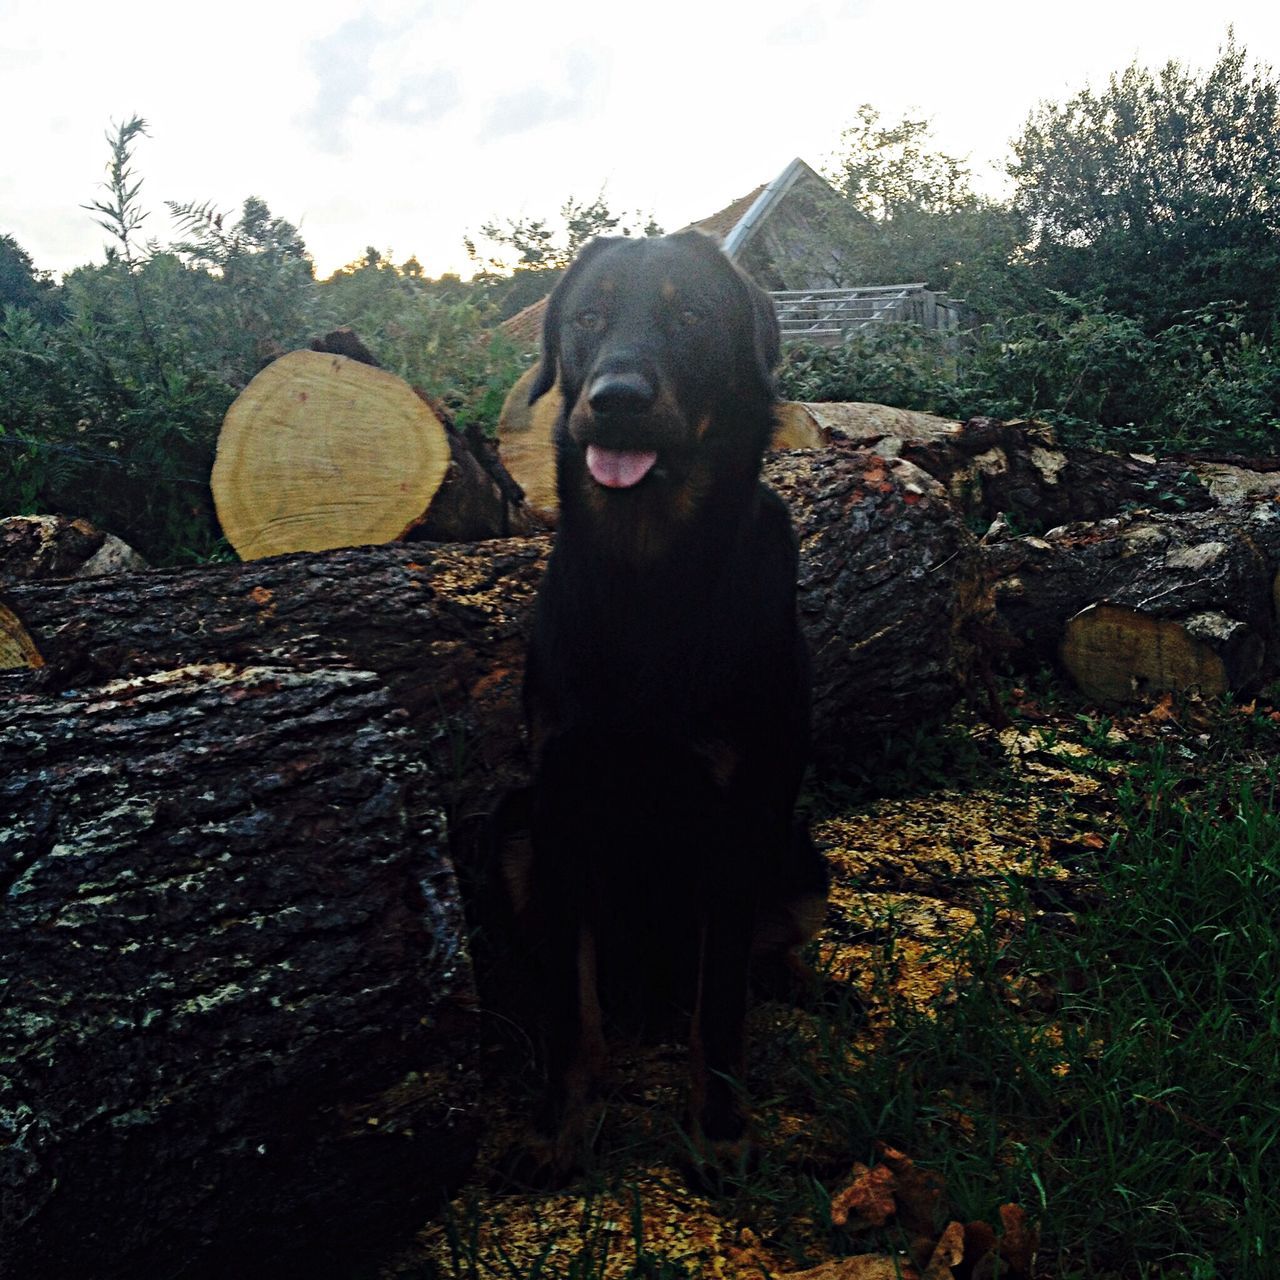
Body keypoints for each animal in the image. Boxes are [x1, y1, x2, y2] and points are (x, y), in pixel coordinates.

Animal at [512, 232, 829, 1177]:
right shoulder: (559, 804)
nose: (615, 400)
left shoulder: (735, 816)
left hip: (796, 850)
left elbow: (717, 1003)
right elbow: (569, 1000)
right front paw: (563, 1121)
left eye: (690, 316)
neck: (646, 577)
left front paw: (719, 1131)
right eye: (586, 317)